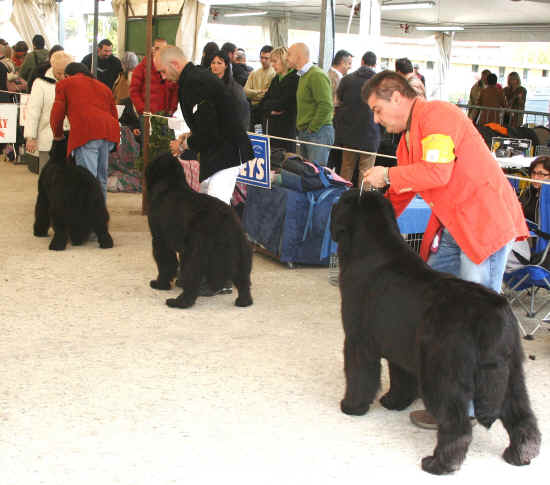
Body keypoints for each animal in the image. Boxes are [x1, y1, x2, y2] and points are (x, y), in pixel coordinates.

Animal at [144, 153, 252, 308]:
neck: (170, 183)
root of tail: (225, 217)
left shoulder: (160, 240)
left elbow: (165, 263)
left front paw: (160, 284)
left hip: (197, 252)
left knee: (192, 277)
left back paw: (179, 302)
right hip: (238, 249)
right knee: (242, 278)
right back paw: (244, 301)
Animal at [330, 191, 540, 474]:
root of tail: (494, 314)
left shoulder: (358, 339)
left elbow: (359, 375)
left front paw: (352, 406)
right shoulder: (400, 345)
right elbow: (401, 378)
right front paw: (394, 402)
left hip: (443, 374)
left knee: (457, 425)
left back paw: (439, 463)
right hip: (511, 373)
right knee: (522, 415)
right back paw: (520, 454)